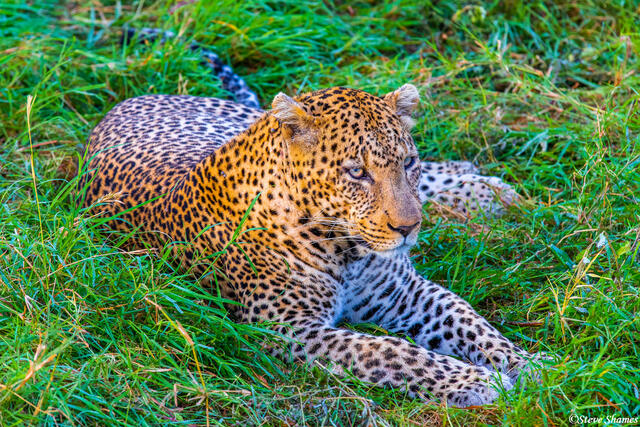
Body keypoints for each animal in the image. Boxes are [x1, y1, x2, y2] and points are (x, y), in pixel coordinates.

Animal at [79, 82, 542, 408]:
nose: (409, 227)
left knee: (437, 179)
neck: (347, 250)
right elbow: (390, 352)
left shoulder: (405, 292)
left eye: (407, 162)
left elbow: (470, 322)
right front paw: (477, 380)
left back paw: (483, 187)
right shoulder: (288, 329)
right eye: (356, 172)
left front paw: (532, 367)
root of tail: (130, 101)